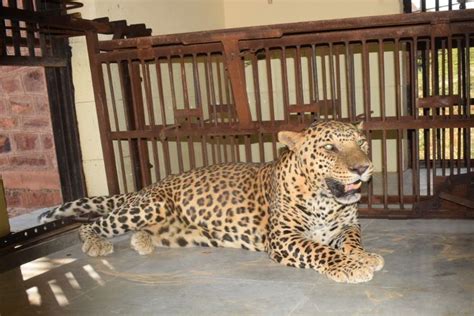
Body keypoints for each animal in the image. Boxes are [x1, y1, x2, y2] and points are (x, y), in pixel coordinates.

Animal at [39, 119, 384, 282]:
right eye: (329, 148)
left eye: (362, 143)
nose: (364, 167)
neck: (326, 200)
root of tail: (150, 184)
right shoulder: (284, 238)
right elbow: (320, 250)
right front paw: (349, 266)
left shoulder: (346, 226)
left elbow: (351, 240)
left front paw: (363, 256)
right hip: (151, 205)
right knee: (93, 224)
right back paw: (95, 243)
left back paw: (143, 241)